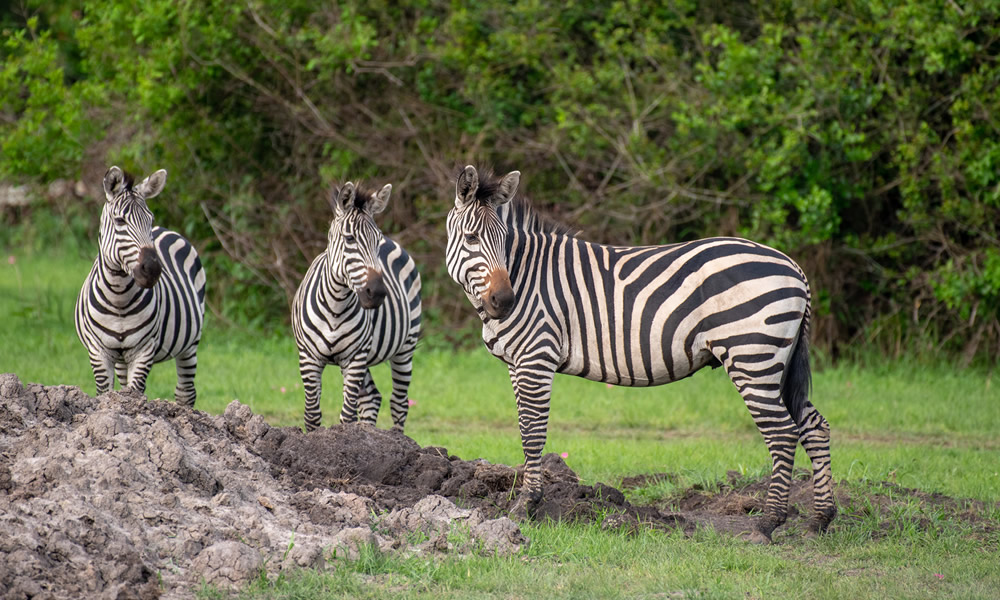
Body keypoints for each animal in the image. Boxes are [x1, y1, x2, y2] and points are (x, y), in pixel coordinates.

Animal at [76, 166, 207, 406]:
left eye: (149, 219)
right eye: (120, 221)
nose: (153, 268)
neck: (118, 296)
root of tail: (164, 229)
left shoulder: (144, 350)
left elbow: (135, 392)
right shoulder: (99, 352)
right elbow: (107, 393)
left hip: (191, 342)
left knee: (186, 391)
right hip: (121, 358)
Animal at [290, 182, 422, 432]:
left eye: (376, 240)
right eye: (349, 239)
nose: (377, 293)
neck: (336, 305)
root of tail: (393, 242)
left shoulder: (355, 357)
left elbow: (347, 416)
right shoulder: (308, 357)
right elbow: (312, 415)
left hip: (406, 346)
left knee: (399, 403)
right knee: (372, 398)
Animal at [446, 165, 836, 544]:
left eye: (504, 241)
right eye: (472, 239)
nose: (505, 302)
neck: (525, 275)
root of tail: (794, 267)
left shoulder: (535, 358)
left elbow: (532, 432)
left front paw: (526, 507)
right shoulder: (518, 363)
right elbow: (526, 429)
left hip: (752, 356)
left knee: (782, 433)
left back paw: (768, 524)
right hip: (776, 363)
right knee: (814, 426)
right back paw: (820, 520)